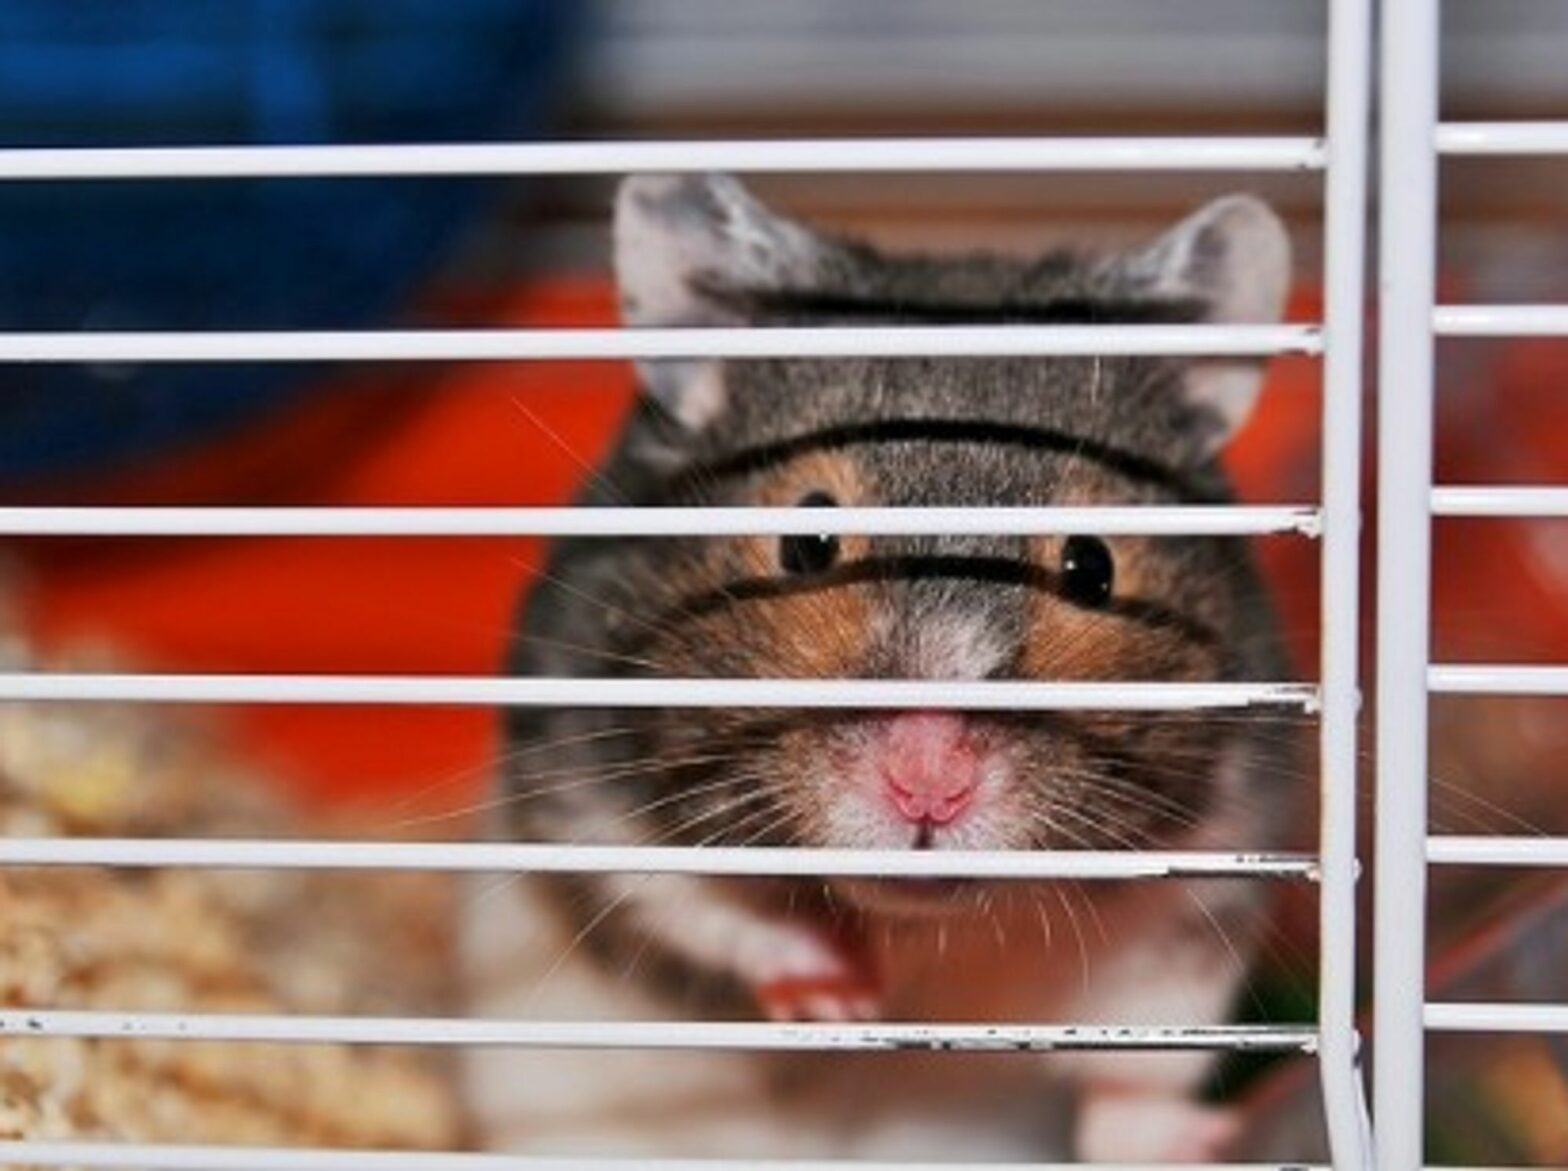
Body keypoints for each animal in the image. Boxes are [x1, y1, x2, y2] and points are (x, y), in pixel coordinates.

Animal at [462, 173, 1299, 1161]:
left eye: (1091, 568)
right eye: (807, 540)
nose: (928, 783)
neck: (925, 924)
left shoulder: (1211, 878)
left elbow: (1140, 1064)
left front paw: (1198, 1139)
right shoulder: (578, 788)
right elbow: (699, 905)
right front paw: (840, 995)